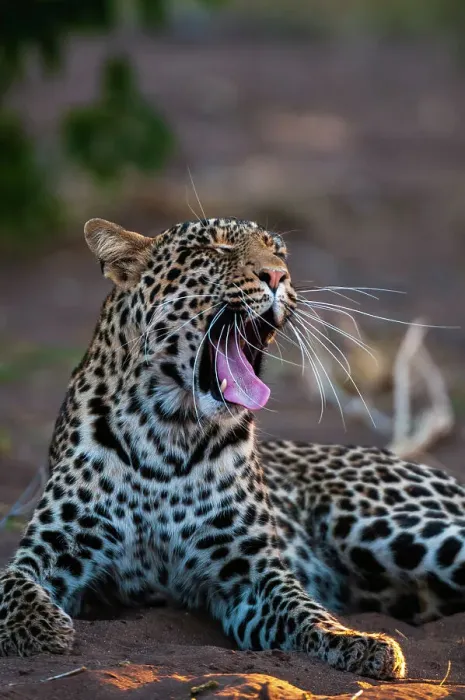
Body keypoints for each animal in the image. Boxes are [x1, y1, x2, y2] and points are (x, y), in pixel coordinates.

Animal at [2, 215, 465, 680]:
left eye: (277, 252)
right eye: (215, 248)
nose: (276, 276)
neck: (169, 435)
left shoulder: (254, 573)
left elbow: (308, 611)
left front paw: (360, 641)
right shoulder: (53, 545)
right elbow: (12, 583)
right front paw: (39, 628)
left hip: (389, 528)